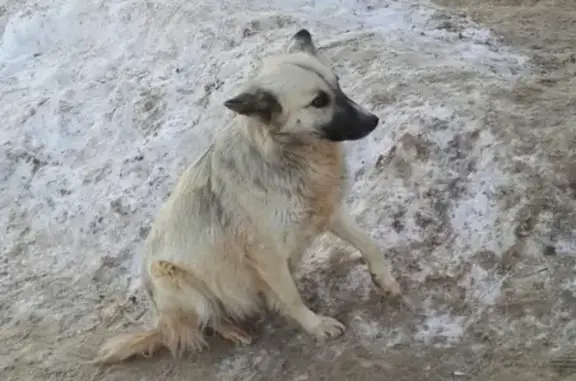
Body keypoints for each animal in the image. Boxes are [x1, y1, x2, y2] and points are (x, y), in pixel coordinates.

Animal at [95, 27, 400, 362]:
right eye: (319, 101)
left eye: (338, 83)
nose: (373, 120)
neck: (290, 156)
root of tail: (163, 322)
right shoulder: (266, 254)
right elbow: (292, 298)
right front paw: (317, 325)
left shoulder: (329, 211)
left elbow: (370, 244)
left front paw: (383, 279)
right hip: (173, 279)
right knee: (206, 321)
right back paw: (232, 330)